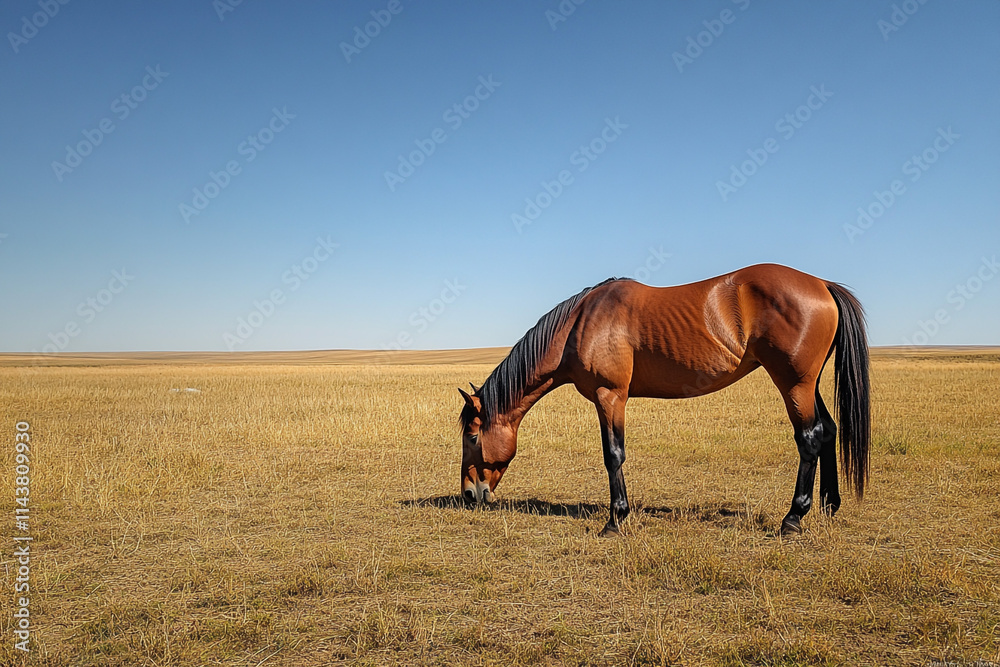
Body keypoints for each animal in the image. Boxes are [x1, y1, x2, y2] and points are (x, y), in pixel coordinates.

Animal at [458, 263, 870, 536]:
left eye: (473, 436)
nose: (469, 494)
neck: (579, 324)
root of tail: (822, 284)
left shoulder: (610, 396)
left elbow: (613, 455)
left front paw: (615, 520)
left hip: (794, 384)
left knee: (809, 438)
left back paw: (793, 518)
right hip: (808, 384)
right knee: (828, 429)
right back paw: (829, 504)